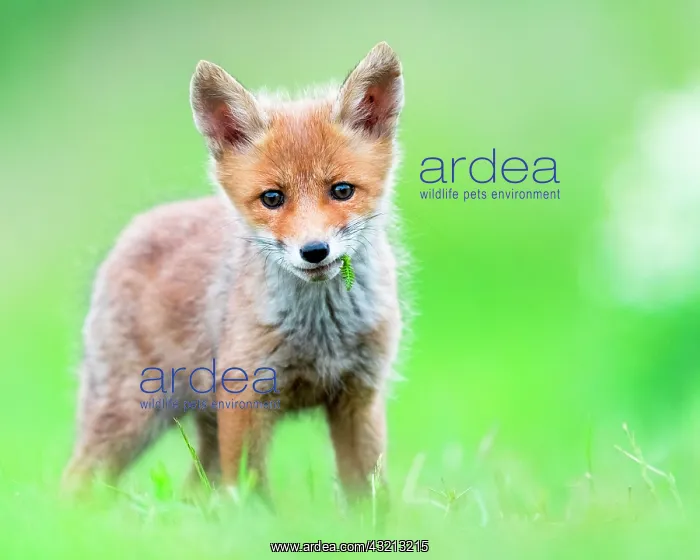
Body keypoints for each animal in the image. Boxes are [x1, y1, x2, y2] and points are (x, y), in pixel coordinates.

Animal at [62, 42, 406, 502]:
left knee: (193, 493)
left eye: (342, 191)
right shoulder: (245, 398)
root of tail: (136, 227)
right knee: (74, 484)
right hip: (129, 416)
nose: (314, 251)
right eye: (272, 198)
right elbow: (252, 493)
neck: (320, 334)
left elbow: (370, 496)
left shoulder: (359, 396)